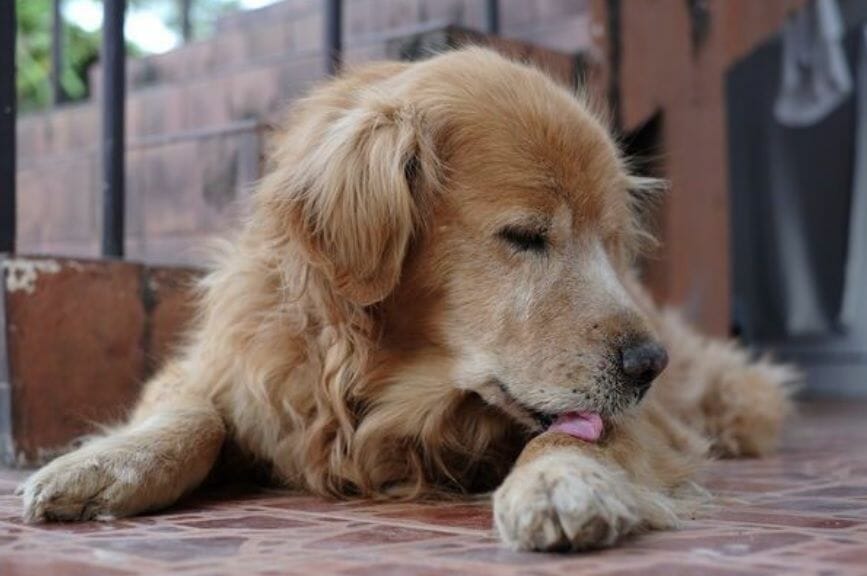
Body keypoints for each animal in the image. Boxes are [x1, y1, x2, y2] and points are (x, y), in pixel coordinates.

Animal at [18, 47, 792, 552]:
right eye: (524, 235)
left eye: (610, 242)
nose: (648, 365)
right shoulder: (224, 368)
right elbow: (194, 416)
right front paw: (101, 466)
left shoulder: (647, 424)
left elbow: (577, 436)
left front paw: (560, 482)